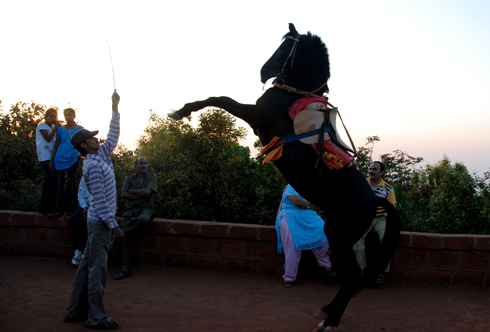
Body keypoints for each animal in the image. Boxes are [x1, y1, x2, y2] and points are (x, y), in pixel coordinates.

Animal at [168, 24, 398, 332]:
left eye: (285, 48)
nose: (263, 72)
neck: (293, 97)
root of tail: (375, 200)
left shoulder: (255, 116)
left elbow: (220, 99)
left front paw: (181, 111)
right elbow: (221, 99)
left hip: (337, 236)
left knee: (352, 277)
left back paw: (329, 321)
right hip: (343, 239)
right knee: (352, 277)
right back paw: (326, 310)